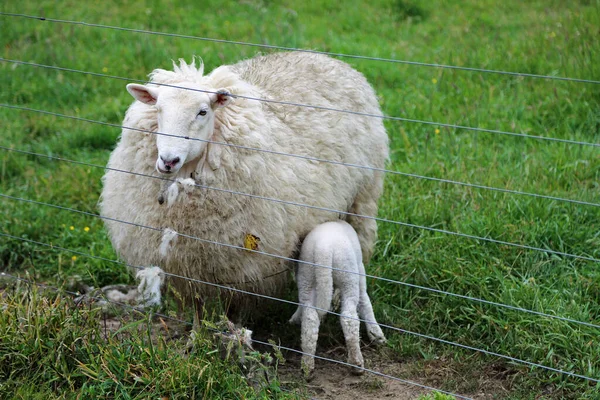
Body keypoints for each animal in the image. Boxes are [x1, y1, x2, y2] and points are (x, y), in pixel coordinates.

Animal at [98, 50, 390, 318]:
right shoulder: (186, 269)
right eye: (158, 109)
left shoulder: (245, 272)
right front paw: (195, 333)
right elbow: (196, 311)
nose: (168, 160)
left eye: (202, 111)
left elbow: (238, 312)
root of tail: (324, 56)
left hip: (363, 196)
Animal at [290, 220, 384, 374]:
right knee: (349, 318)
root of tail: (323, 250)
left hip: (306, 278)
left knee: (310, 319)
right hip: (348, 276)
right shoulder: (360, 271)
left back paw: (307, 366)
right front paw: (377, 335)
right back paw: (356, 363)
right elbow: (365, 301)